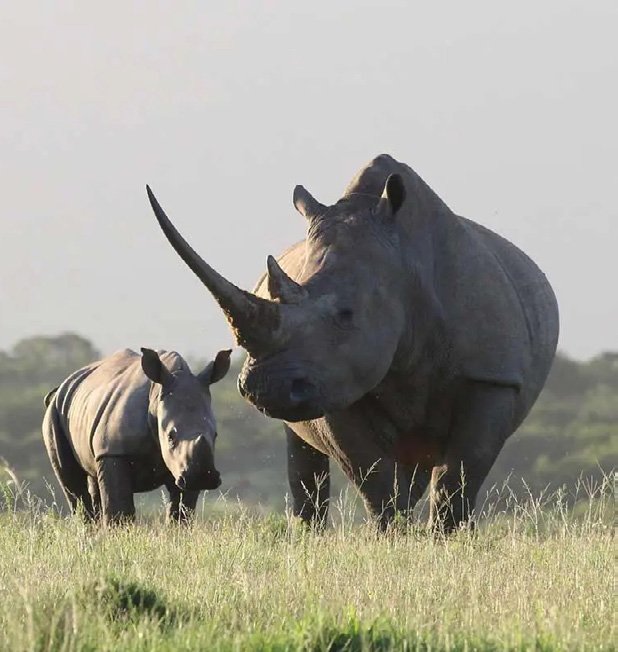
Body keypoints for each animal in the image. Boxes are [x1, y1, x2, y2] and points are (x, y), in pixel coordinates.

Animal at [42, 347, 231, 524]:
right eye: (170, 437)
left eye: (215, 435)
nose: (202, 477)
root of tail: (61, 387)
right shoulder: (112, 451)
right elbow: (119, 508)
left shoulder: (184, 467)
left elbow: (182, 510)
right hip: (55, 412)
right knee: (74, 486)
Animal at [146, 154, 559, 531]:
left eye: (346, 314)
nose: (264, 388)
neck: (405, 267)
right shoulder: (335, 382)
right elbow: (373, 477)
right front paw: (393, 538)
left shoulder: (491, 376)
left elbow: (459, 475)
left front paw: (447, 540)